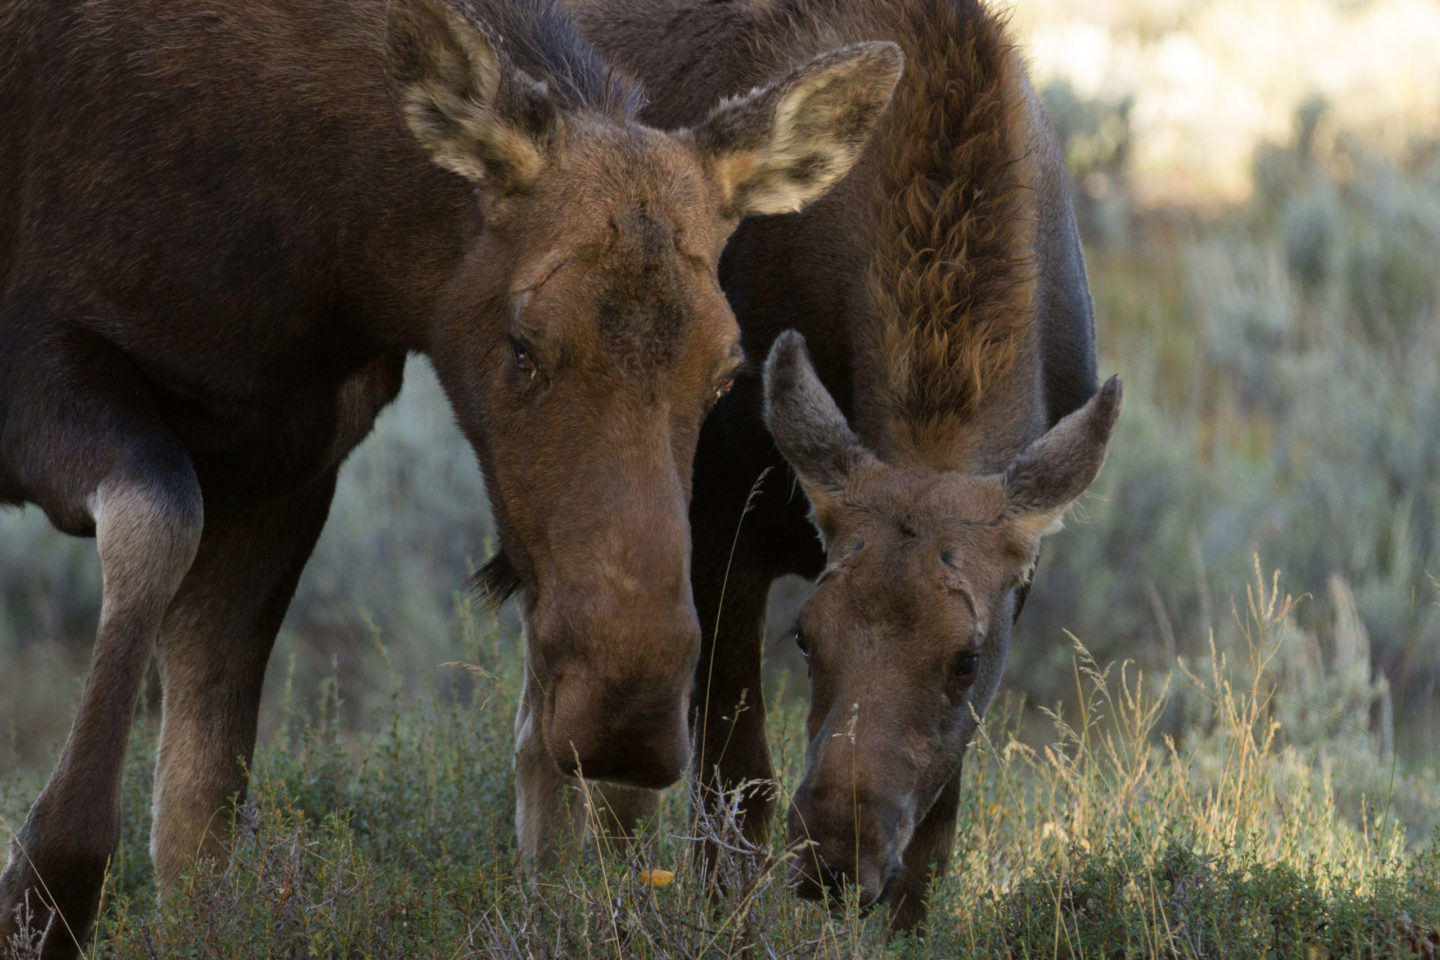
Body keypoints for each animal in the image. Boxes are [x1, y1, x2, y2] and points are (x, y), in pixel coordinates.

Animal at [0, 0, 898, 949]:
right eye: (523, 346)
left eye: (727, 373)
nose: (627, 722)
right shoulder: (37, 363)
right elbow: (160, 517)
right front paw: (44, 895)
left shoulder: (287, 462)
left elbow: (199, 815)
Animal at [567, 0, 1117, 932]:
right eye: (808, 636)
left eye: (965, 658)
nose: (834, 860)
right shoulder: (721, 519)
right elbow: (736, 786)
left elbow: (937, 824)